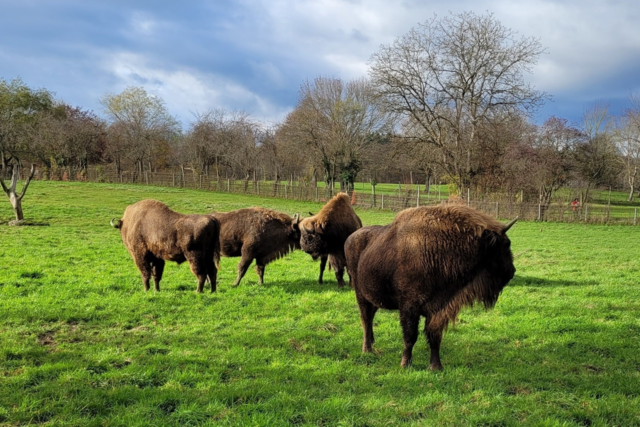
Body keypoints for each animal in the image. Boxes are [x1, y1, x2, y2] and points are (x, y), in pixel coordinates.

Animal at [344, 205, 516, 372]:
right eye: (505, 245)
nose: (512, 271)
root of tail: (350, 238)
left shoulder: (438, 309)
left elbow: (434, 337)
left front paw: (436, 367)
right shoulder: (409, 307)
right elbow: (410, 337)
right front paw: (405, 364)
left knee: (370, 317)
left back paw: (372, 343)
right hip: (361, 294)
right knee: (366, 319)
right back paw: (367, 350)